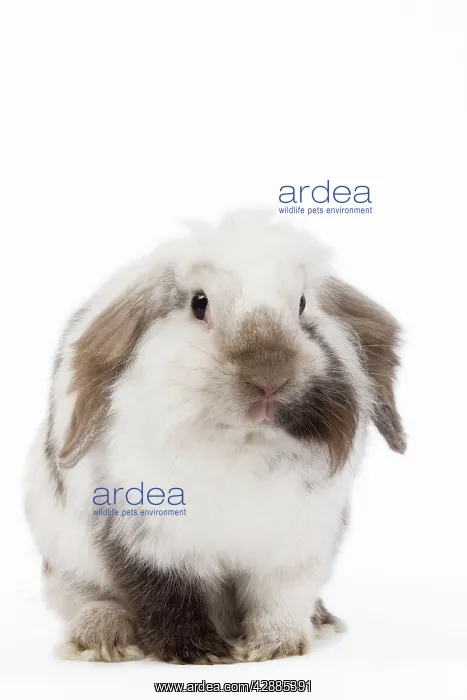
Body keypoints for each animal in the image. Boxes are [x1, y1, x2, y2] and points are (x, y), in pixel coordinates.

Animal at [23, 210, 406, 664]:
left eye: (302, 304)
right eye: (199, 303)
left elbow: (281, 597)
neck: (243, 444)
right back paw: (102, 638)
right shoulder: (151, 540)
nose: (268, 376)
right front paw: (201, 653)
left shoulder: (297, 546)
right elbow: (167, 596)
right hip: (66, 560)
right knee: (86, 597)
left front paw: (273, 647)